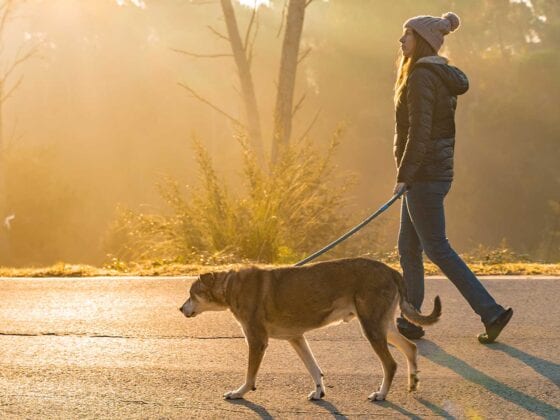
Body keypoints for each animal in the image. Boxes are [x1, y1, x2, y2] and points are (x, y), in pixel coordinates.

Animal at [179, 260, 442, 400]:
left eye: (192, 294)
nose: (181, 309)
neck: (229, 286)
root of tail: (390, 270)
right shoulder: (296, 338)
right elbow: (314, 368)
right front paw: (318, 392)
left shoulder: (257, 341)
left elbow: (250, 375)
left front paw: (239, 392)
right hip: (383, 326)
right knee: (411, 347)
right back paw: (413, 383)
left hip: (372, 328)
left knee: (391, 364)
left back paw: (381, 394)